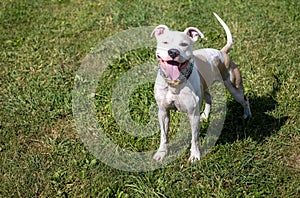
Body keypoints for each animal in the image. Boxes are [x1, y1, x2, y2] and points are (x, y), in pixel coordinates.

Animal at [151, 12, 252, 162]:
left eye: (184, 44)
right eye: (165, 42)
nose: (173, 52)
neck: (175, 83)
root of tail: (222, 52)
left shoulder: (193, 114)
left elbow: (195, 138)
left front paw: (194, 155)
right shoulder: (163, 111)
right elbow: (164, 135)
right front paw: (161, 153)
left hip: (234, 88)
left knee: (244, 99)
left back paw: (247, 115)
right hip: (204, 89)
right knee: (209, 98)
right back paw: (205, 115)